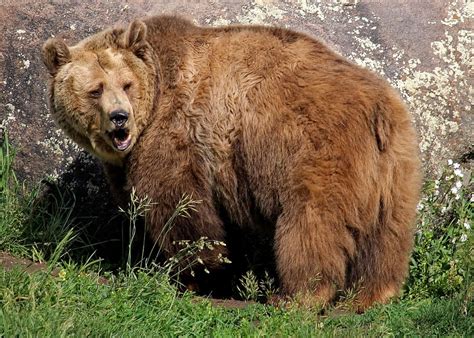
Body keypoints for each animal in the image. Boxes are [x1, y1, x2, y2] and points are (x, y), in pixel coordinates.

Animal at [42, 15, 422, 312]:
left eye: (126, 84)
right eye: (95, 90)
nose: (120, 118)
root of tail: (378, 108)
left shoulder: (177, 133)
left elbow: (179, 207)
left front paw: (195, 273)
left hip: (313, 151)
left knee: (311, 222)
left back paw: (297, 296)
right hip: (396, 166)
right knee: (387, 233)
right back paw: (373, 294)